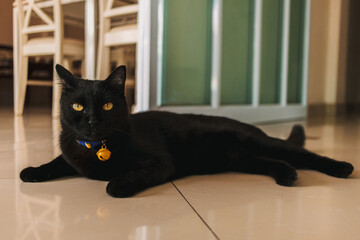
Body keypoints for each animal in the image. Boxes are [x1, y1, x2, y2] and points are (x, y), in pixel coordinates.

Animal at [20, 64, 354, 198]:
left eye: (107, 106)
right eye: (78, 106)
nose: (90, 121)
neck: (97, 148)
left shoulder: (160, 163)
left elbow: (131, 175)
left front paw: (116, 185)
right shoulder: (72, 152)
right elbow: (57, 162)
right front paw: (31, 171)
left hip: (262, 144)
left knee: (305, 154)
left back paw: (342, 167)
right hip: (244, 158)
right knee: (276, 162)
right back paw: (287, 175)